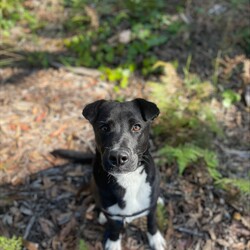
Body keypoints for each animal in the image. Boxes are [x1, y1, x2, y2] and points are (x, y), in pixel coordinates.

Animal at [82, 99, 167, 250]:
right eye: (104, 128)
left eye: (136, 127)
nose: (117, 157)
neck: (128, 179)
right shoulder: (112, 216)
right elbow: (114, 228)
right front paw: (113, 243)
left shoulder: (151, 209)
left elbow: (151, 222)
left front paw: (155, 239)